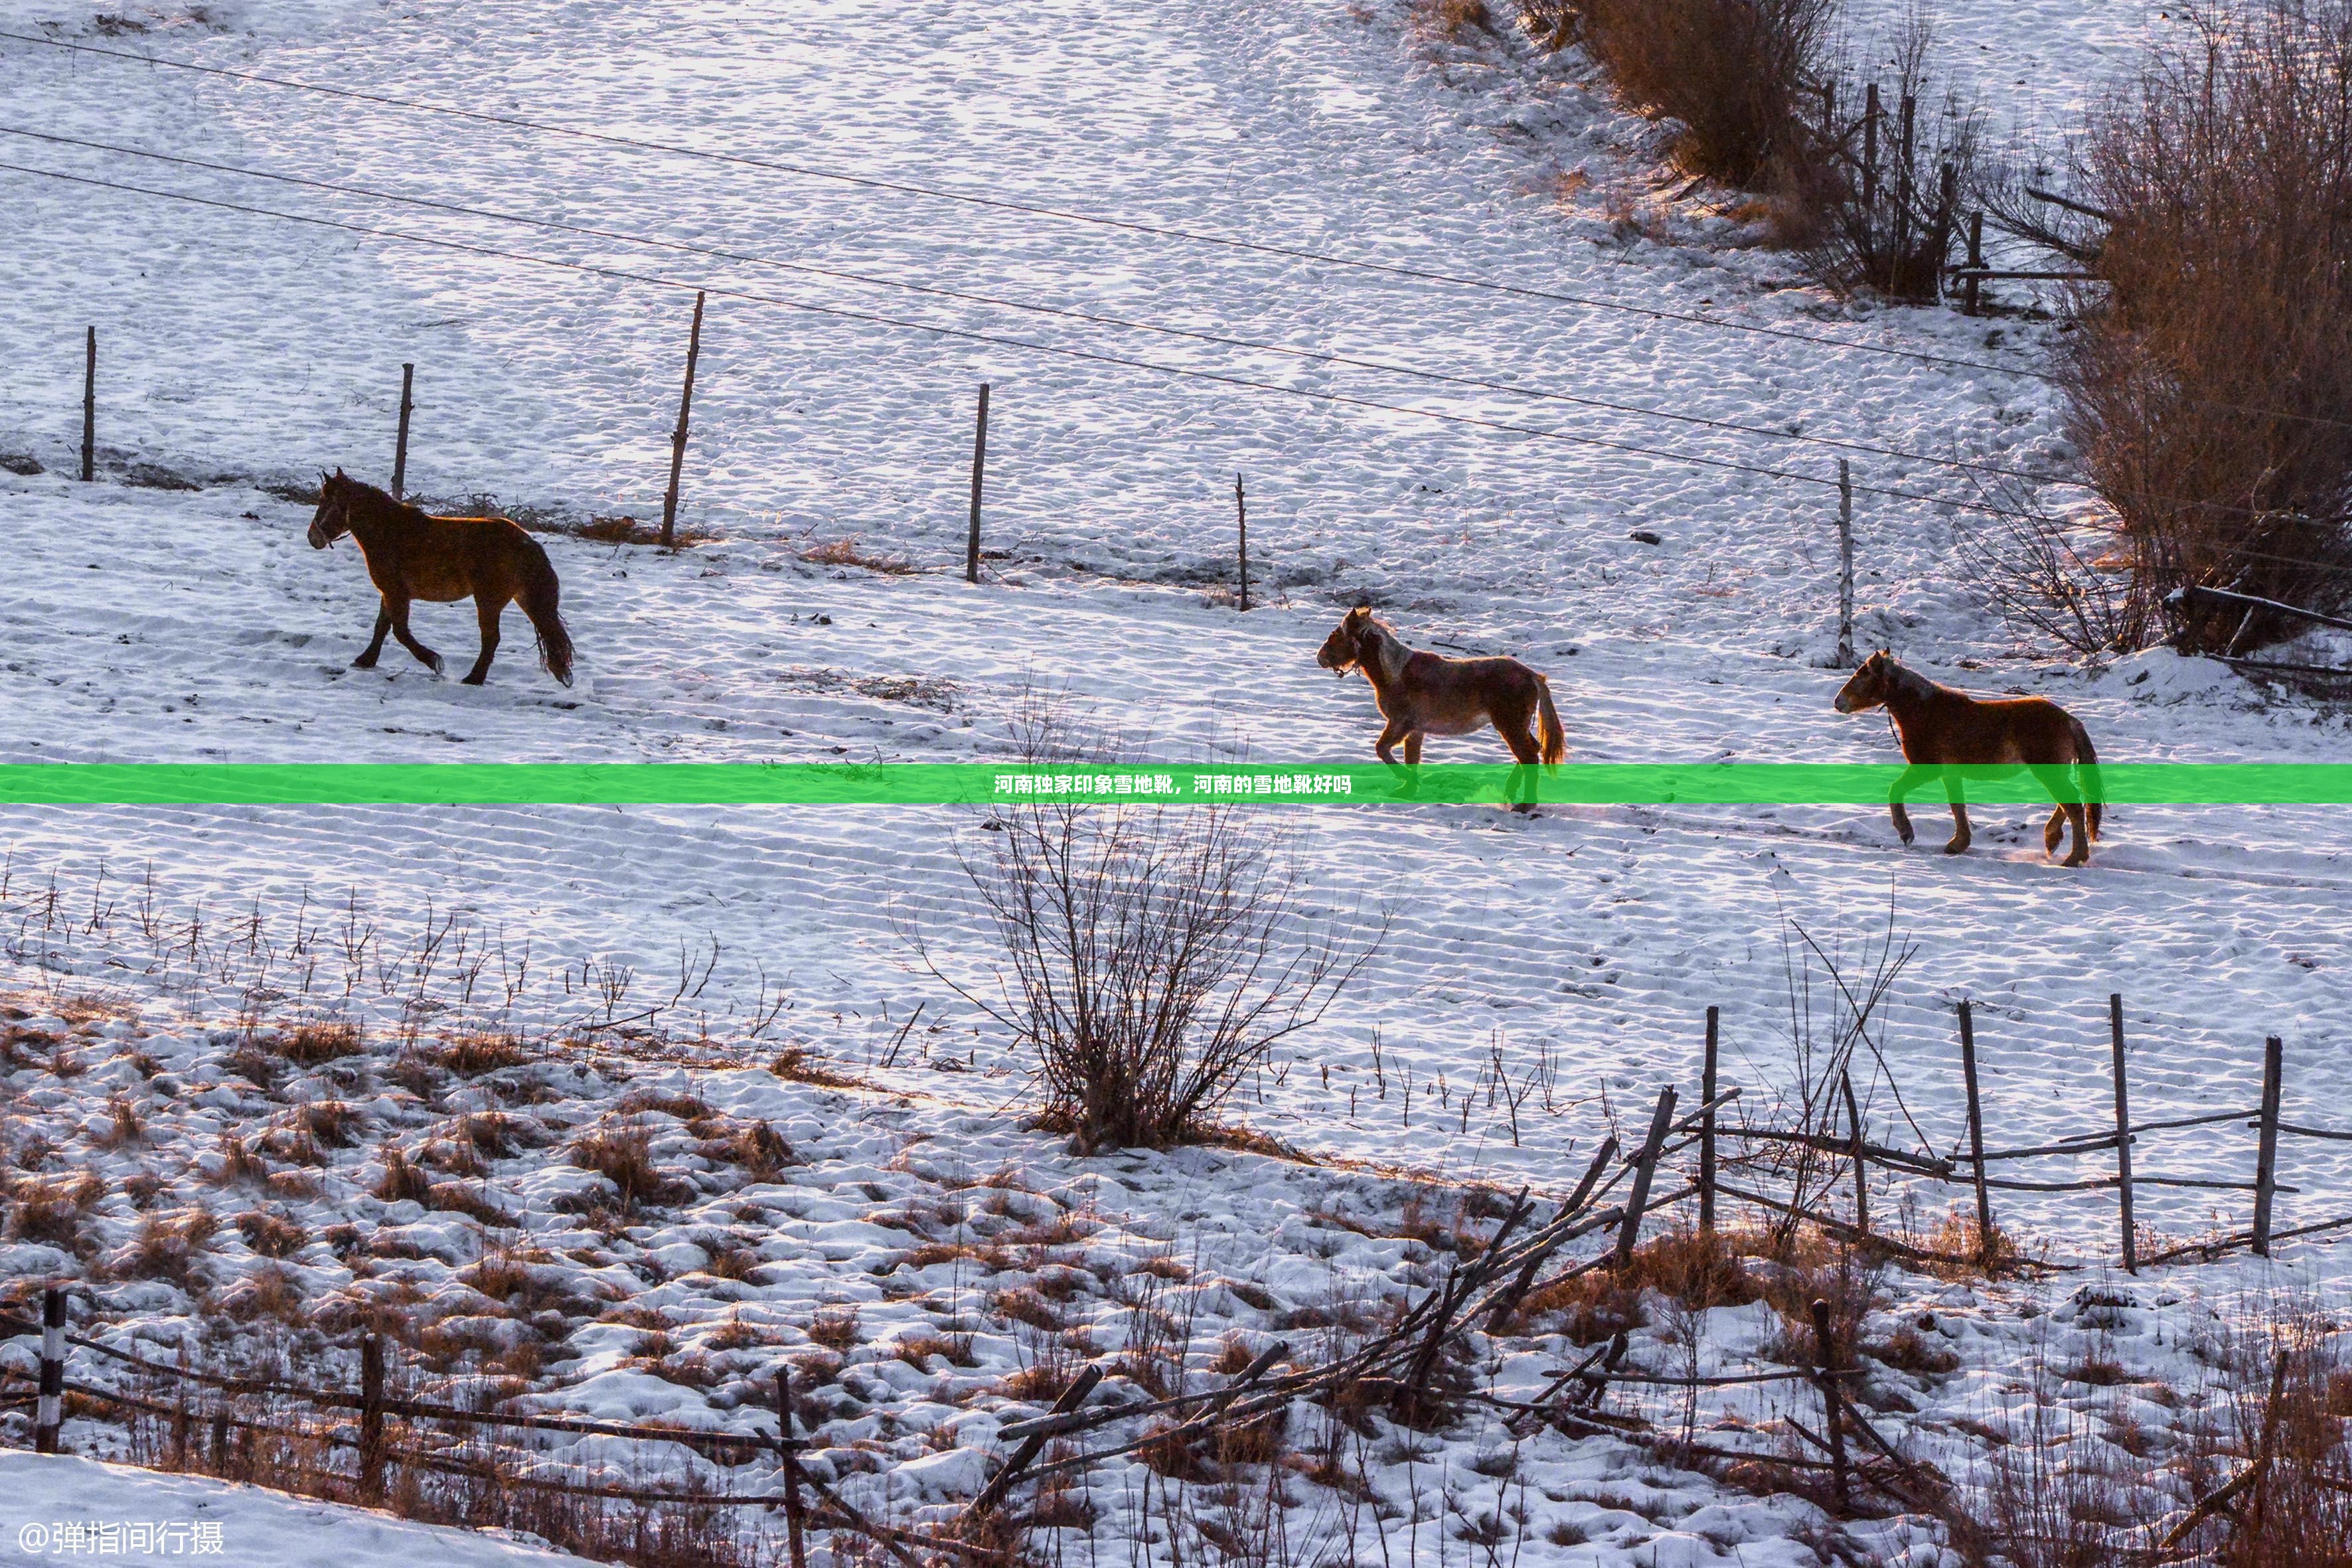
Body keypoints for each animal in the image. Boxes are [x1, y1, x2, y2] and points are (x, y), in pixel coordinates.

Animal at [308, 465, 574, 686]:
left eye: (324, 501)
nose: (313, 537)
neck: (392, 532)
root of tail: (527, 543)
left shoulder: (396, 593)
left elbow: (400, 632)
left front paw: (434, 661)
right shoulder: (389, 592)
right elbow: (381, 627)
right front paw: (366, 660)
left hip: (488, 602)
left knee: (491, 639)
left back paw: (474, 678)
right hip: (524, 598)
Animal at [1326, 606, 1561, 818]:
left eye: (1336, 635)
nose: (1321, 657)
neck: (1395, 674)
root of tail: (1533, 676)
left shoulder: (1400, 724)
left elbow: (1382, 750)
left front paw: (1408, 782)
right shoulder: (1415, 730)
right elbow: (1411, 758)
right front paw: (1408, 789)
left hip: (1510, 726)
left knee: (1528, 755)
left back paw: (1524, 805)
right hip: (1516, 727)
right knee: (1531, 752)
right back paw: (1511, 793)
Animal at [1825, 649, 2107, 870]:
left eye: (1861, 676)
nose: (1838, 702)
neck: (1925, 711)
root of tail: (2070, 720)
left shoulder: (1926, 768)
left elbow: (1896, 790)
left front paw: (1906, 833)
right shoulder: (1951, 773)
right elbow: (1957, 807)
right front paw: (1958, 844)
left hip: (2049, 770)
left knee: (2072, 806)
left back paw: (2074, 857)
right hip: (2054, 770)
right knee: (2068, 804)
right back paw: (2052, 839)